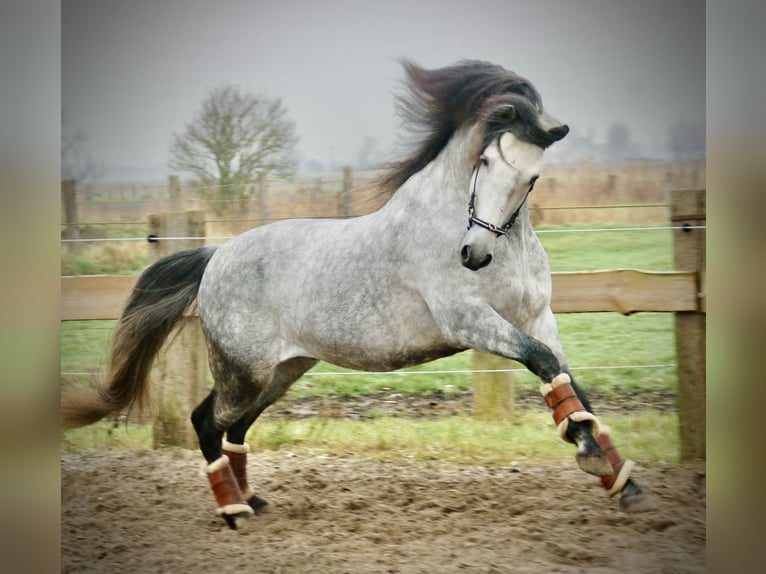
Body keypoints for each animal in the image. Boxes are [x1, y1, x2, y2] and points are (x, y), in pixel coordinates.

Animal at [64, 60, 648, 528]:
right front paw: (595, 459)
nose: (474, 255)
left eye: (532, 177)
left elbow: (568, 382)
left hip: (281, 372)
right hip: (244, 369)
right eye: (483, 163)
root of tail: (216, 257)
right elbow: (544, 363)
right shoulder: (469, 320)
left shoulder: (537, 317)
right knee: (205, 421)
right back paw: (233, 511)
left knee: (234, 428)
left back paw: (252, 499)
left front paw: (621, 479)